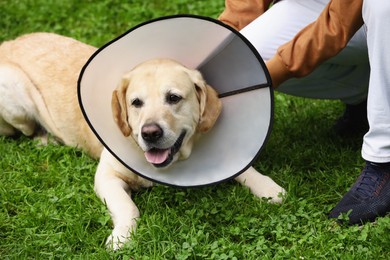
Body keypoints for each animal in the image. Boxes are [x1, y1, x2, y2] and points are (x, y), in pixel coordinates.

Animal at [0, 33, 286, 250]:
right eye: (136, 102)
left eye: (173, 98)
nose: (150, 133)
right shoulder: (106, 176)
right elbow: (128, 207)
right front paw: (121, 237)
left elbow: (244, 167)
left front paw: (268, 187)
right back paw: (45, 139)